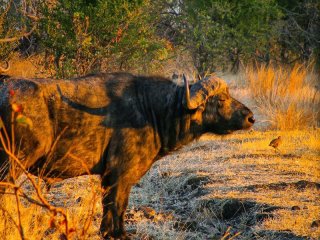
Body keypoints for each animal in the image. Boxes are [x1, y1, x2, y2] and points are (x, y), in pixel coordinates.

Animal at [0, 72, 255, 238]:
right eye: (221, 99)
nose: (251, 117)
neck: (151, 110)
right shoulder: (119, 175)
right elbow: (118, 205)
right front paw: (119, 234)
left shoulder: (109, 177)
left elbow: (111, 207)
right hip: (11, 165)